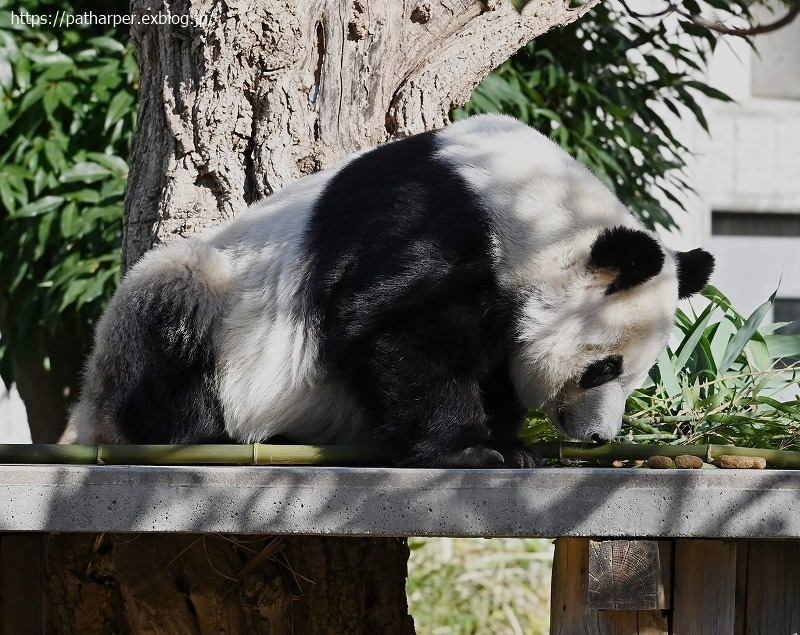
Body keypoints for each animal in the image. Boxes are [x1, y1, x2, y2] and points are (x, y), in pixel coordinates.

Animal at [72, 115, 716, 468]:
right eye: (604, 368)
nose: (599, 435)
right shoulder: (427, 218)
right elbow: (393, 328)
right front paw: (469, 449)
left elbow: (494, 359)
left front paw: (509, 442)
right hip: (197, 303)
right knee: (167, 331)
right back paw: (205, 434)